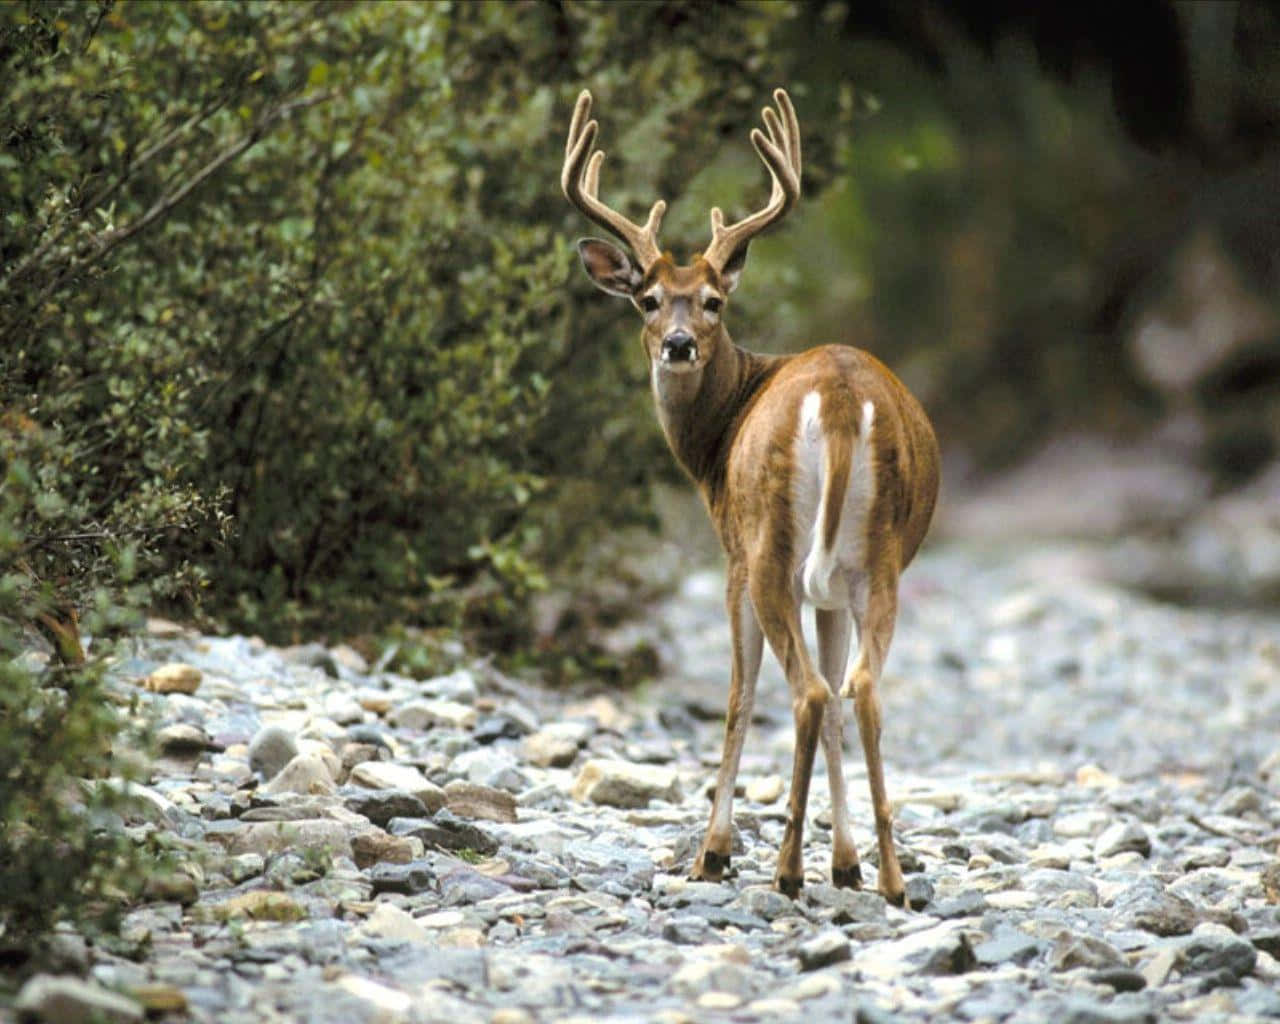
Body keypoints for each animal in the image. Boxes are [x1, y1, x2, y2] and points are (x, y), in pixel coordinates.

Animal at [563, 90, 942, 906]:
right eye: (648, 300)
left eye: (711, 301)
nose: (677, 345)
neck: (715, 439)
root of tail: (840, 401)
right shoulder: (828, 590)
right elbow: (833, 695)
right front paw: (847, 862)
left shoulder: (734, 555)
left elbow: (739, 696)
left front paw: (714, 853)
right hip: (876, 557)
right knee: (856, 688)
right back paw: (889, 878)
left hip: (772, 545)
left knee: (804, 694)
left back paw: (784, 868)